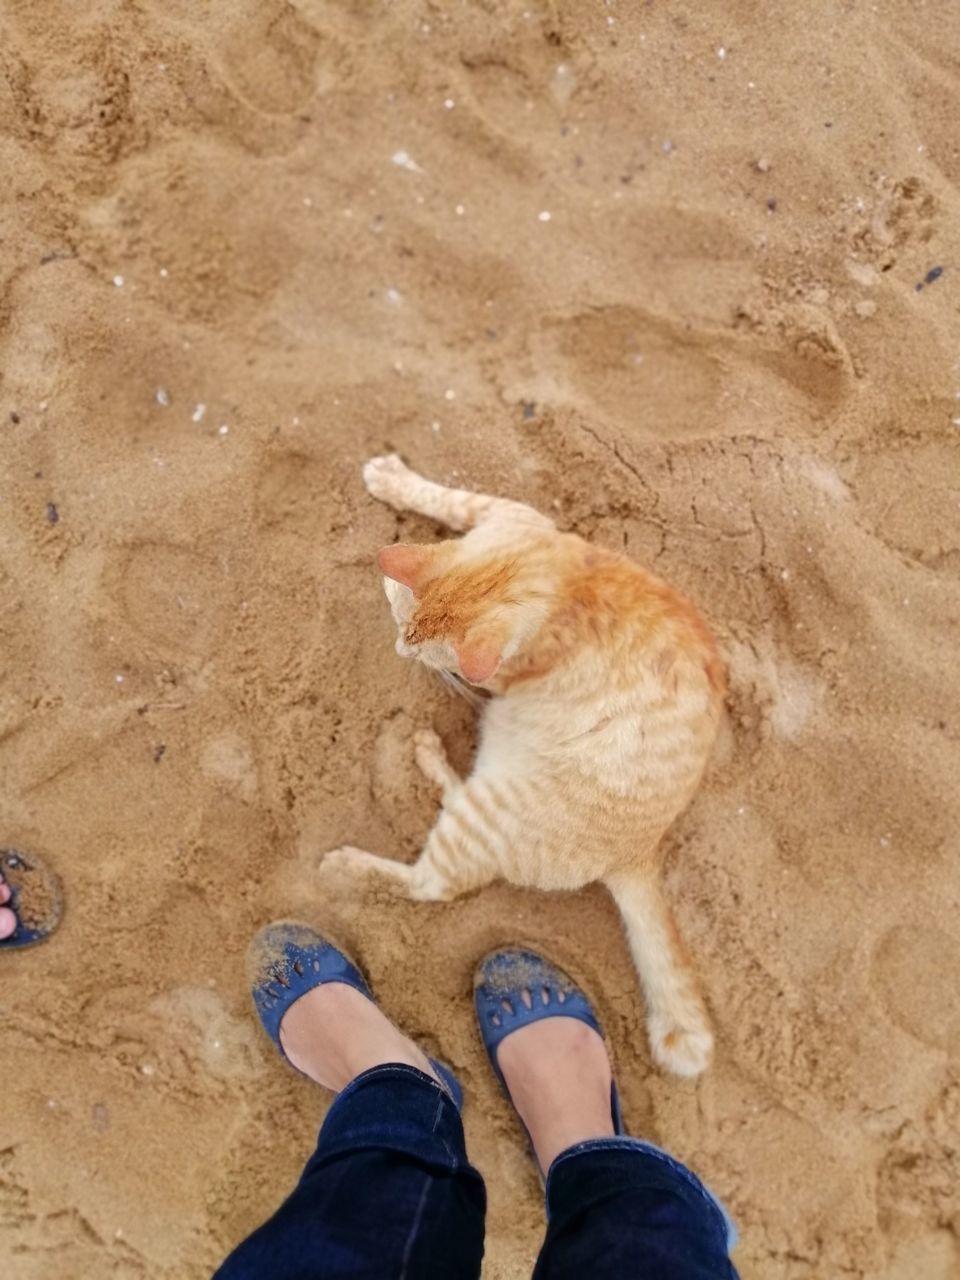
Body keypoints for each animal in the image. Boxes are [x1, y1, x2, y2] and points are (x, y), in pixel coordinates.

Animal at [327, 455, 727, 1075]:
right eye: (400, 629)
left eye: (416, 650)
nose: (399, 652)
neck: (544, 576)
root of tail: (645, 850)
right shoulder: (503, 513)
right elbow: (447, 498)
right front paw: (394, 483)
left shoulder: (501, 673)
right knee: (455, 796)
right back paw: (427, 753)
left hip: (490, 814)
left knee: (432, 884)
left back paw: (347, 864)